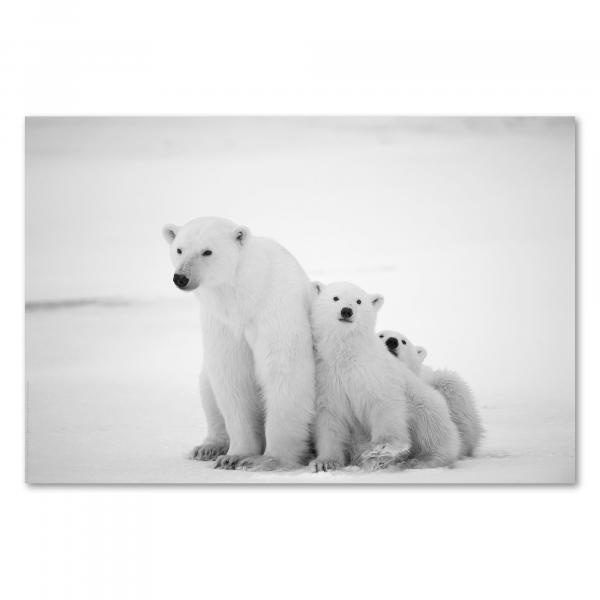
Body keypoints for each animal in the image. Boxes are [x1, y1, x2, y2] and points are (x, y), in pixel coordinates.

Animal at [162, 218, 316, 472]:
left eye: (207, 251)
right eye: (179, 249)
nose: (181, 277)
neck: (245, 298)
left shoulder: (276, 310)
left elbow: (284, 372)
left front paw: (268, 460)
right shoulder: (222, 324)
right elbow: (232, 378)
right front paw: (234, 456)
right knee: (207, 387)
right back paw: (208, 447)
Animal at [310, 282, 460, 474]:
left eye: (359, 301)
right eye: (335, 298)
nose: (346, 311)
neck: (347, 355)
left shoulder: (374, 373)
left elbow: (384, 405)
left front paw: (381, 448)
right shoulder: (328, 379)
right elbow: (330, 419)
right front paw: (324, 463)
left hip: (426, 404)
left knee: (431, 429)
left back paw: (419, 460)